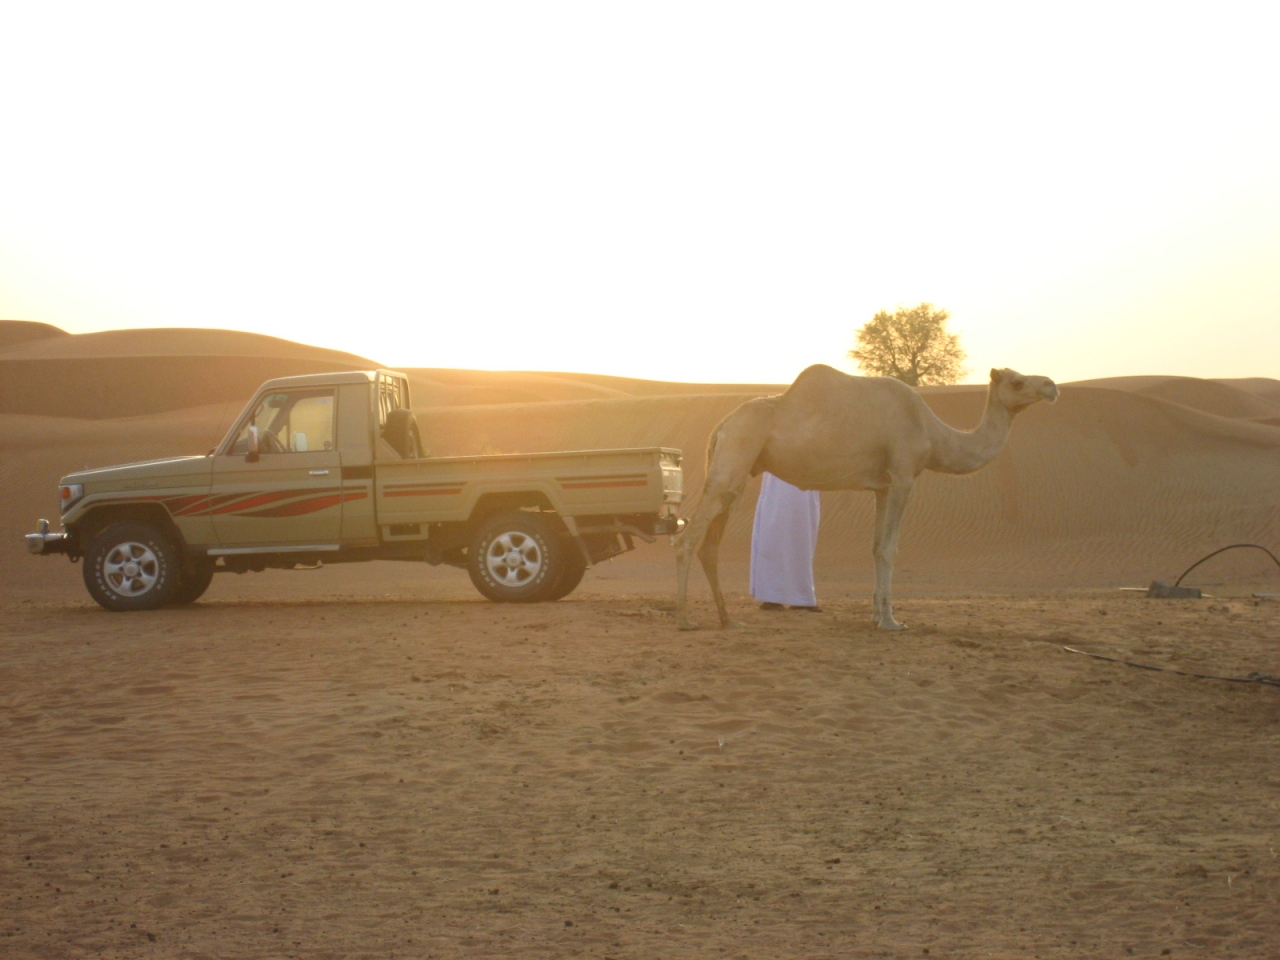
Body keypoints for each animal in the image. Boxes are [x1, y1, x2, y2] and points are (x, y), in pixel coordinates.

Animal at [675, 366, 1054, 632]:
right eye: (1017, 382)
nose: (1050, 386)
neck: (932, 434)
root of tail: (720, 426)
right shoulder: (903, 477)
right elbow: (889, 548)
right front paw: (891, 621)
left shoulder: (883, 487)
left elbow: (875, 547)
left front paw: (875, 615)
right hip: (736, 453)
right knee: (687, 537)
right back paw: (684, 619)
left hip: (736, 472)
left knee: (711, 544)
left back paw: (728, 620)